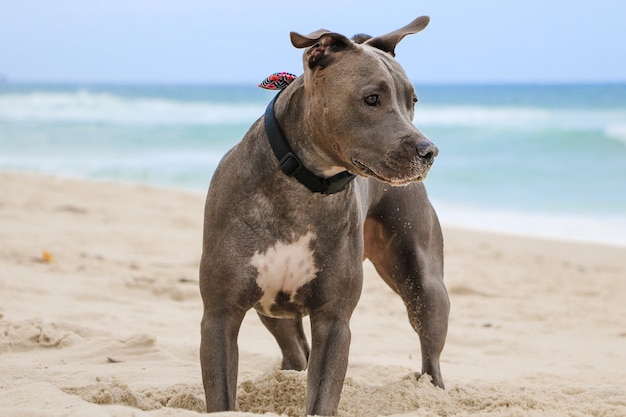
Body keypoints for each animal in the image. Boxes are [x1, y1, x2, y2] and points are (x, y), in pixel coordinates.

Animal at [200, 16, 448, 416]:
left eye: (412, 101)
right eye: (372, 98)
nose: (429, 151)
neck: (305, 186)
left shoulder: (333, 321)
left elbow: (322, 396)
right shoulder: (221, 314)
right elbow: (222, 397)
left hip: (424, 283)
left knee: (431, 357)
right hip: (273, 312)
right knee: (295, 352)